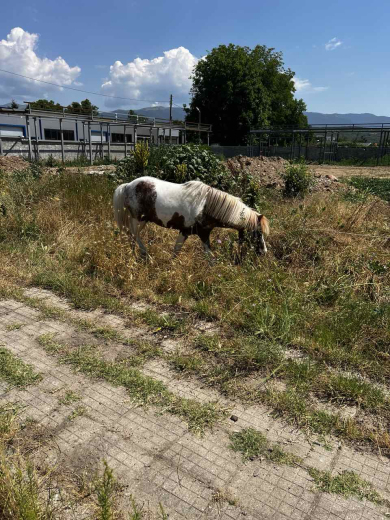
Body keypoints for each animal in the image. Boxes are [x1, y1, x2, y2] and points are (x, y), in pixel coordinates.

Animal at [112, 178, 270, 258]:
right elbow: (179, 251)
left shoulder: (200, 234)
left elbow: (207, 256)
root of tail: (128, 185)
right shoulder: (189, 232)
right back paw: (144, 255)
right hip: (138, 220)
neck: (206, 205)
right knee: (134, 236)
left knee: (133, 236)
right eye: (258, 233)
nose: (264, 252)